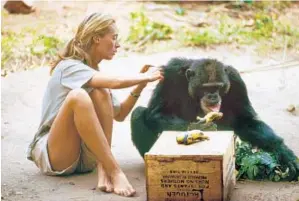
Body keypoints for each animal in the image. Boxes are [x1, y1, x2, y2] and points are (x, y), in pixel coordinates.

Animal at [132, 57, 299, 181]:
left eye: (218, 87)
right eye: (205, 87)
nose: (213, 96)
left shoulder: (236, 79)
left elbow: (245, 120)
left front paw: (283, 152)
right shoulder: (169, 74)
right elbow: (156, 112)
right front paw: (199, 127)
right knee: (138, 113)